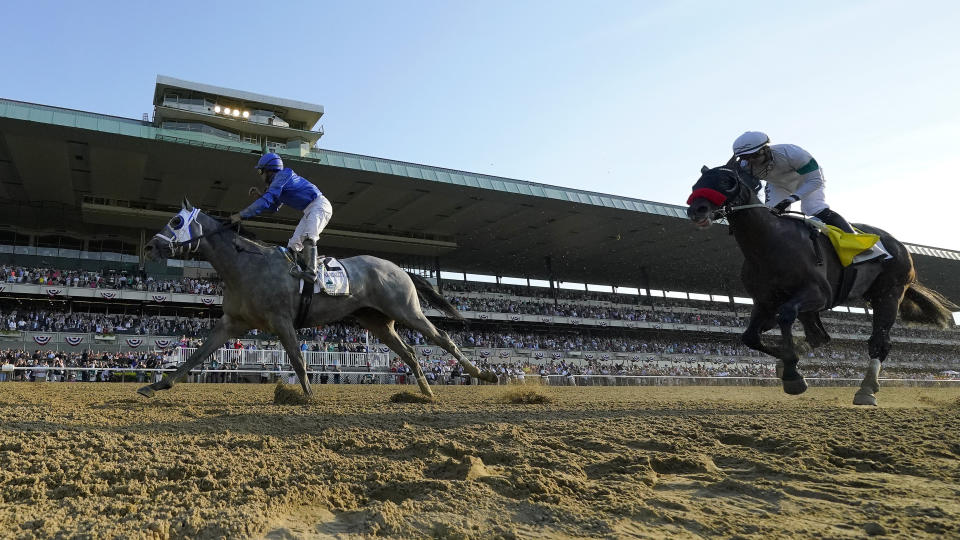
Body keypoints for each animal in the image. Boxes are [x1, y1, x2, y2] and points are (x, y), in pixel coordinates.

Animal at [137, 200, 496, 398]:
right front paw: (157, 386)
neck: (246, 265)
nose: (150, 246)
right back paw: (425, 391)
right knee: (408, 352)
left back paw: (484, 375)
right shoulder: (232, 323)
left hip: (406, 310)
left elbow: (298, 359)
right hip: (377, 322)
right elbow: (197, 355)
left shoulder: (281, 320)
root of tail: (399, 268)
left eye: (175, 221)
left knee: (444, 338)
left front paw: (308, 396)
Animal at [688, 167, 956, 402]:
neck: (770, 243)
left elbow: (785, 316)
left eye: (726, 181)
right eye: (696, 184)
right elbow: (750, 337)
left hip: (889, 294)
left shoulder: (818, 294)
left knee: (879, 342)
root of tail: (901, 248)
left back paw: (866, 389)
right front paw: (790, 365)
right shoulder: (764, 301)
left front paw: (793, 373)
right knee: (820, 337)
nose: (696, 210)